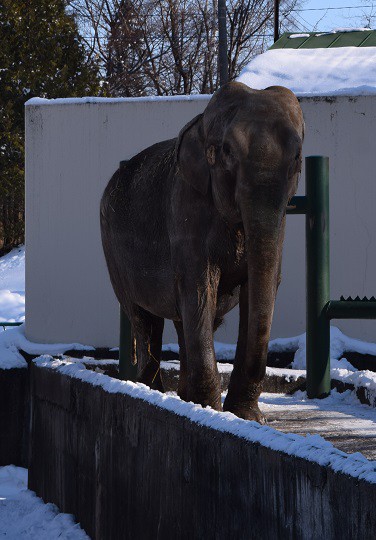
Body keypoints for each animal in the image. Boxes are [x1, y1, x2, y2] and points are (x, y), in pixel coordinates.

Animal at [100, 81, 306, 422]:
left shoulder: (281, 217)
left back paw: (183, 397)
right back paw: (152, 391)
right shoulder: (186, 207)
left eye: (298, 158)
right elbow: (199, 286)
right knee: (145, 319)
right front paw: (213, 410)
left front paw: (245, 417)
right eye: (227, 152)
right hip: (111, 250)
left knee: (182, 322)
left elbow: (259, 287)